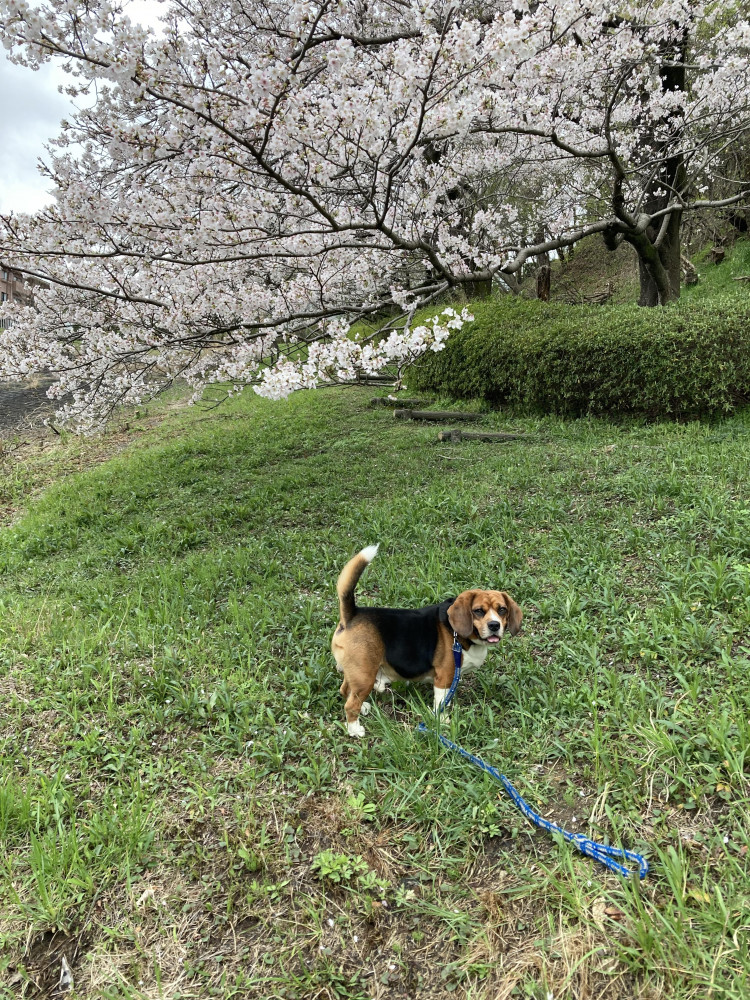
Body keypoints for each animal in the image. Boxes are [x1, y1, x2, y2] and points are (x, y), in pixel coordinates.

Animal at [332, 544, 520, 740]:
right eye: (478, 611)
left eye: (502, 609)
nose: (494, 625)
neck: (458, 635)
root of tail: (352, 614)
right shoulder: (444, 678)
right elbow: (441, 704)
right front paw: (443, 722)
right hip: (365, 674)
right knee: (350, 704)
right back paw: (355, 729)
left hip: (356, 673)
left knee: (345, 690)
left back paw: (364, 707)